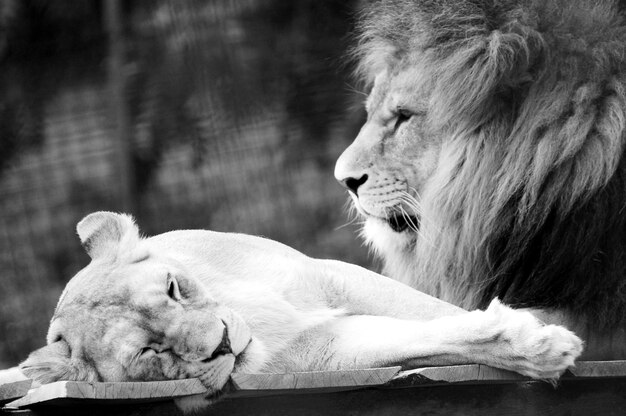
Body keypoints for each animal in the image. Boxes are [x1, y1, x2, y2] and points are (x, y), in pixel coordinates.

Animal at [22, 211, 580, 410]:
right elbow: (427, 337)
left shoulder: (333, 275)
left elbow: (431, 309)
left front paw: (541, 338)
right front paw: (538, 346)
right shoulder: (325, 354)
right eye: (148, 353)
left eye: (173, 287)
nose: (223, 343)